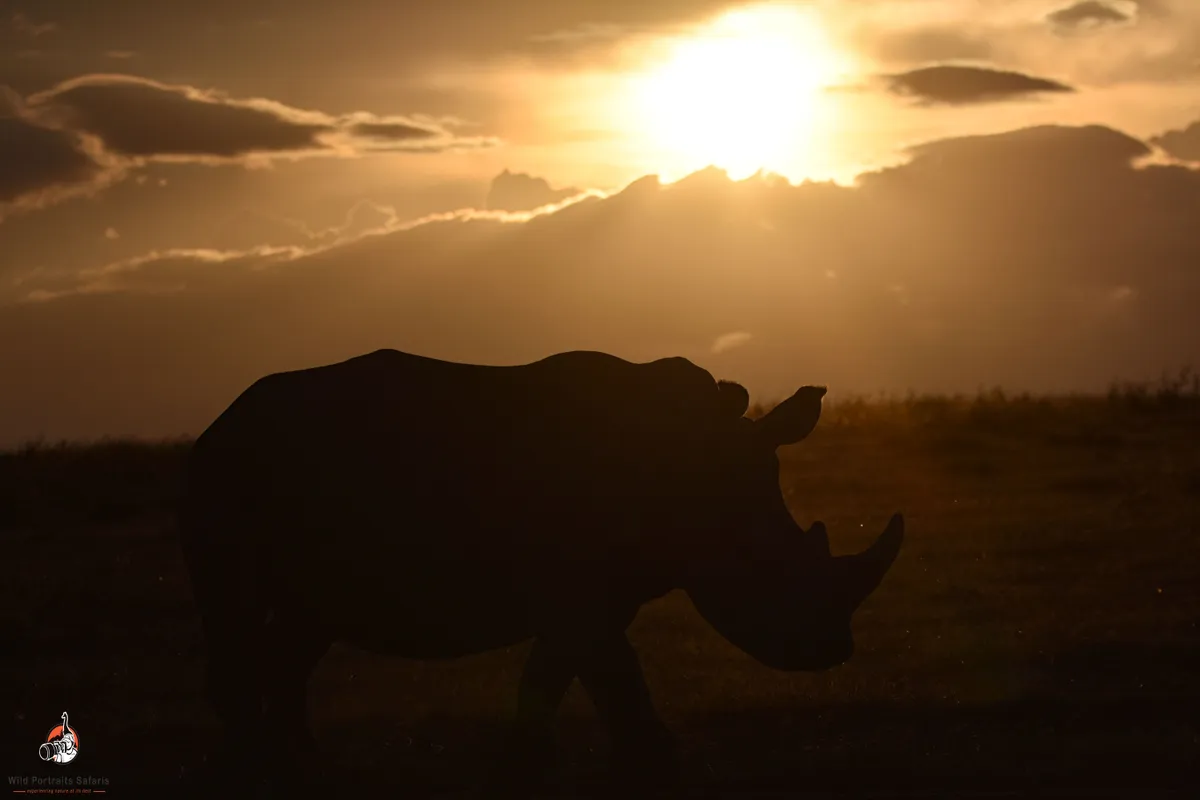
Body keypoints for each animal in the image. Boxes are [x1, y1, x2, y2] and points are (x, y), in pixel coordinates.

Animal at [178, 348, 904, 790]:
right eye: (763, 568)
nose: (832, 651)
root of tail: (219, 422)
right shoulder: (580, 596)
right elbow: (608, 679)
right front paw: (646, 764)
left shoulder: (595, 594)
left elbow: (567, 679)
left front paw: (539, 766)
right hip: (230, 471)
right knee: (237, 610)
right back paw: (257, 772)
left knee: (303, 628)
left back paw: (304, 767)